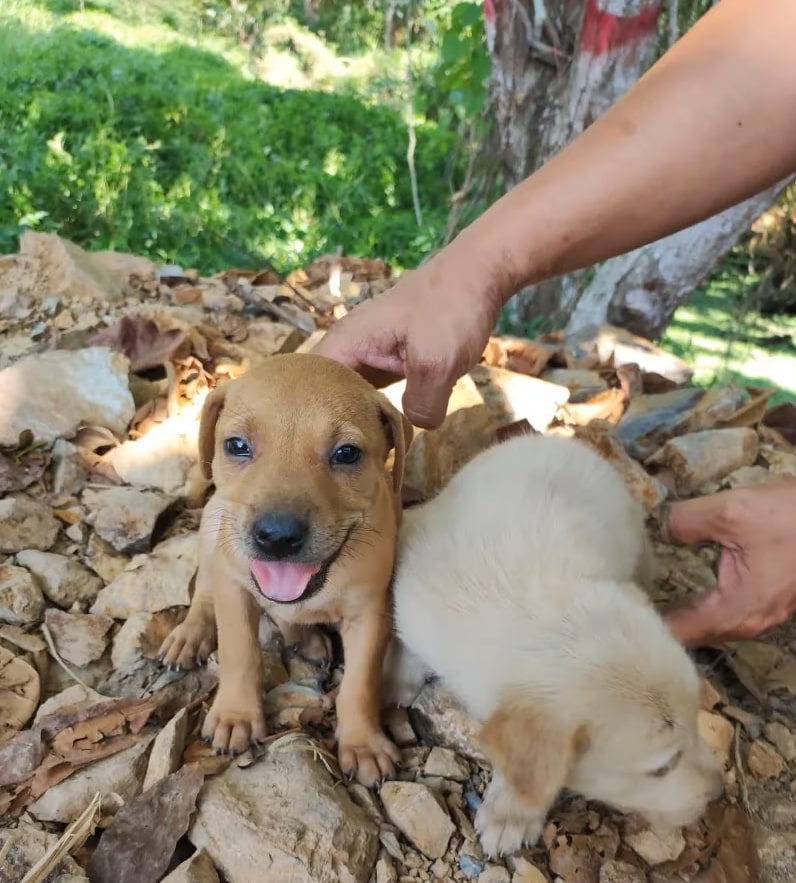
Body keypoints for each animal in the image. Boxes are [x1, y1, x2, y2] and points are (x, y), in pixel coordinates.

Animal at [159, 352, 414, 788]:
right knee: (205, 592)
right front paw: (236, 716)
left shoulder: (371, 612)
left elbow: (360, 683)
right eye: (237, 446)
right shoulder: (234, 590)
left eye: (347, 454)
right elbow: (239, 654)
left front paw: (363, 743)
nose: (276, 537)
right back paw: (190, 635)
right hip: (212, 529)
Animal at [388, 432, 724, 860]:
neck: (531, 617)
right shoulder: (412, 600)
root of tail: (563, 440)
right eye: (662, 768)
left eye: (697, 725)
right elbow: (407, 645)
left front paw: (511, 813)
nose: (718, 792)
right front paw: (396, 679)